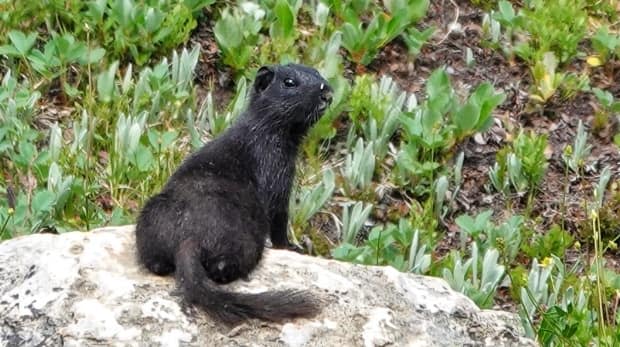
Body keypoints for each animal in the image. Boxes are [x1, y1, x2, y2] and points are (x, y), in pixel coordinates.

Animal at [134, 64, 332, 324]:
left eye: (318, 73)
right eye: (289, 82)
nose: (327, 92)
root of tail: (187, 239)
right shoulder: (277, 173)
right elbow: (279, 218)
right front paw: (292, 247)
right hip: (245, 241)